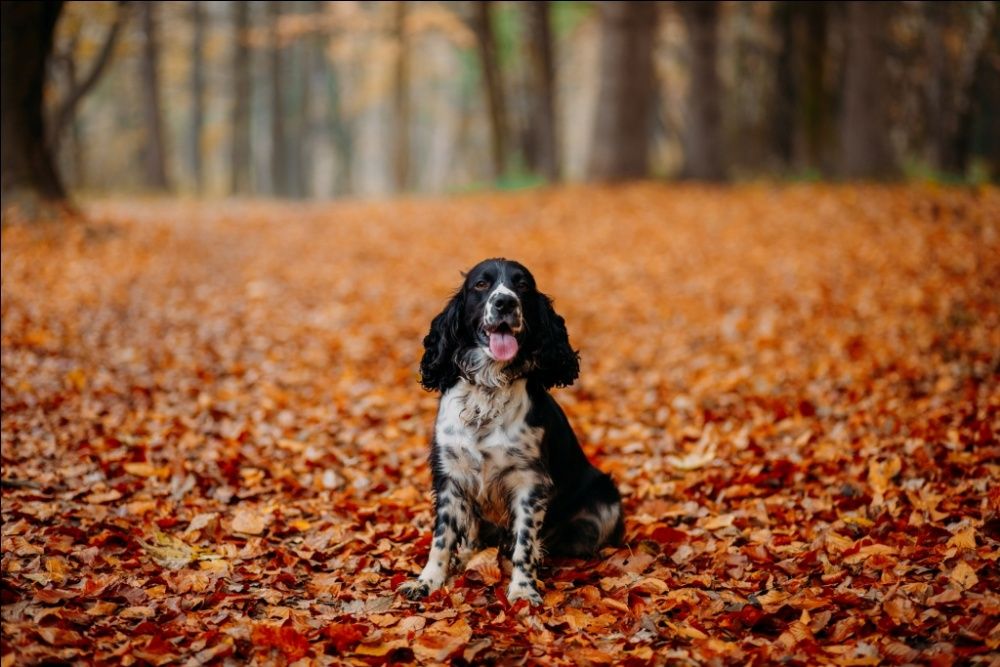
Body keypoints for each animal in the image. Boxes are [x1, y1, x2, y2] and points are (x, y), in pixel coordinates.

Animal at [400, 258, 624, 608]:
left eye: (522, 285)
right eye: (481, 284)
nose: (505, 302)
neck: (488, 391)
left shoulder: (529, 483)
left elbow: (524, 545)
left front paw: (522, 591)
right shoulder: (449, 476)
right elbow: (441, 539)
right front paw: (427, 582)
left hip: (607, 502)